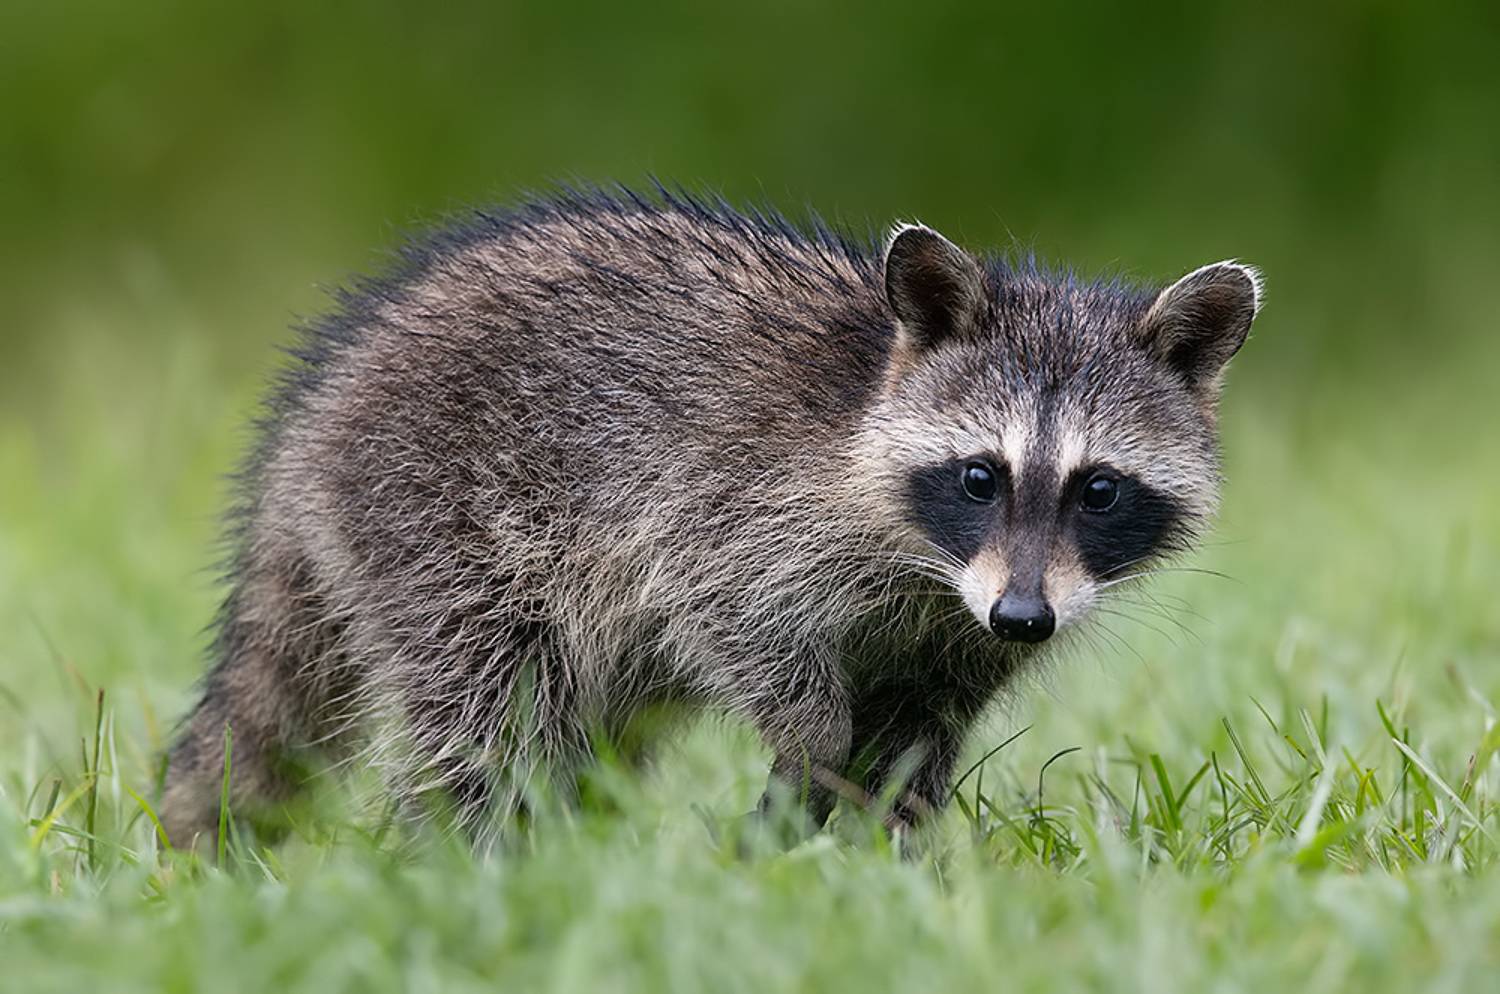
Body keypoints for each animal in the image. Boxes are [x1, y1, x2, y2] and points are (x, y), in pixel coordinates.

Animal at [160, 188, 1260, 849]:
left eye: (1099, 489)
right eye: (982, 477)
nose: (1025, 619)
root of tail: (312, 418)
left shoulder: (963, 629)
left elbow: (917, 738)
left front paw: (881, 855)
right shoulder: (732, 508)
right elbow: (734, 618)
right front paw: (809, 758)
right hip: (434, 515)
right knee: (490, 708)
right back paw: (478, 852)